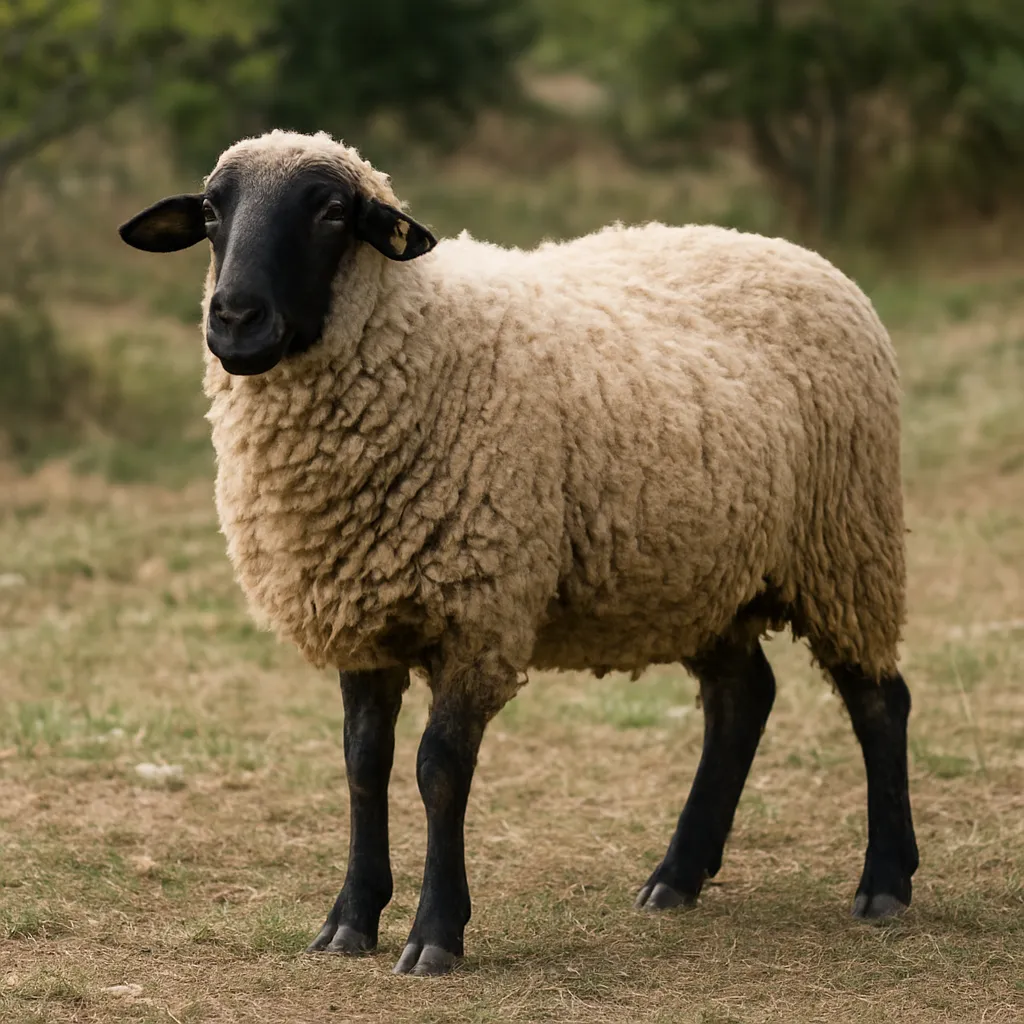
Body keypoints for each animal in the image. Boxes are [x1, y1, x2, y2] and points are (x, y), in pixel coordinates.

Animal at [118, 129, 918, 976]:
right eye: (211, 212)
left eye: (331, 212)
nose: (235, 319)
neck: (419, 340)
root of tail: (799, 254)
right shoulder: (361, 613)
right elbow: (362, 764)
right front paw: (349, 921)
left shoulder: (480, 612)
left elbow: (438, 770)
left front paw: (435, 934)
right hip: (704, 573)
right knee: (743, 699)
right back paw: (676, 875)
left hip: (846, 547)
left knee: (879, 702)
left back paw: (884, 883)